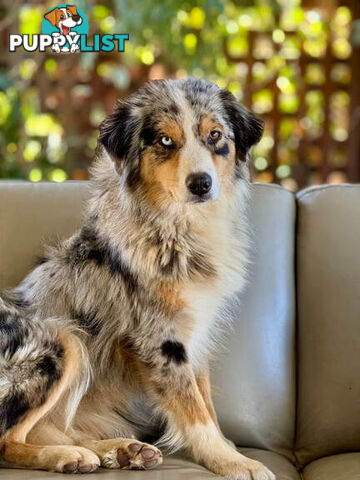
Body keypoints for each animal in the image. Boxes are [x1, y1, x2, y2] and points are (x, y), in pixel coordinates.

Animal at [0, 79, 276, 480]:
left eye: (214, 135)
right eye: (165, 140)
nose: (202, 183)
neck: (178, 228)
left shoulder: (195, 332)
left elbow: (205, 400)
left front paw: (226, 448)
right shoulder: (158, 338)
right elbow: (194, 412)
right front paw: (233, 461)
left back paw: (119, 450)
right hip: (62, 338)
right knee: (8, 440)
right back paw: (67, 456)